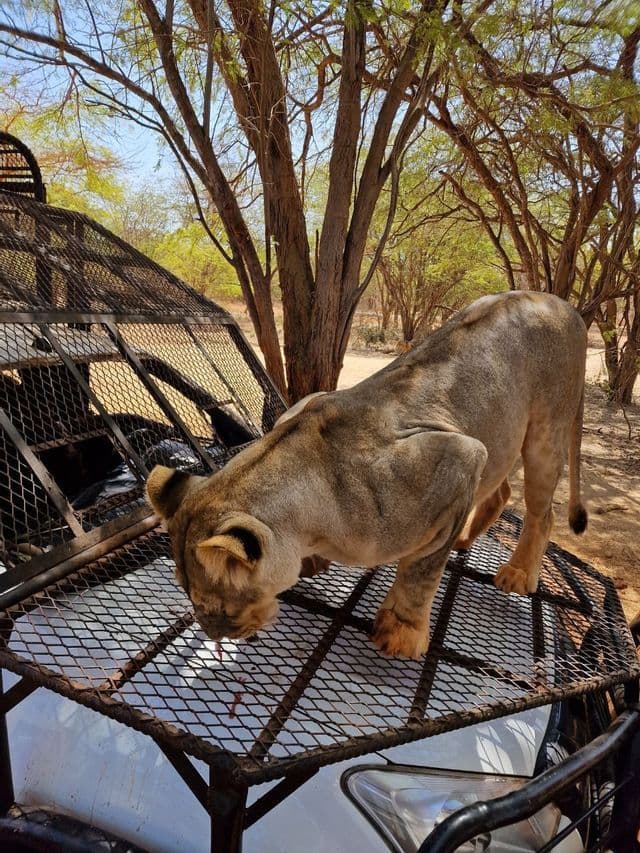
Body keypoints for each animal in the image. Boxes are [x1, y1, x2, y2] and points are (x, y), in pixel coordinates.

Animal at [147, 291, 588, 659]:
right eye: (185, 592)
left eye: (215, 602)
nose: (214, 634)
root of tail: (565, 304)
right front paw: (312, 563)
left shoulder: (461, 455)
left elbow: (421, 571)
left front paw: (401, 632)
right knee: (501, 489)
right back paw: (463, 538)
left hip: (546, 430)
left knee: (542, 510)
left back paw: (518, 573)